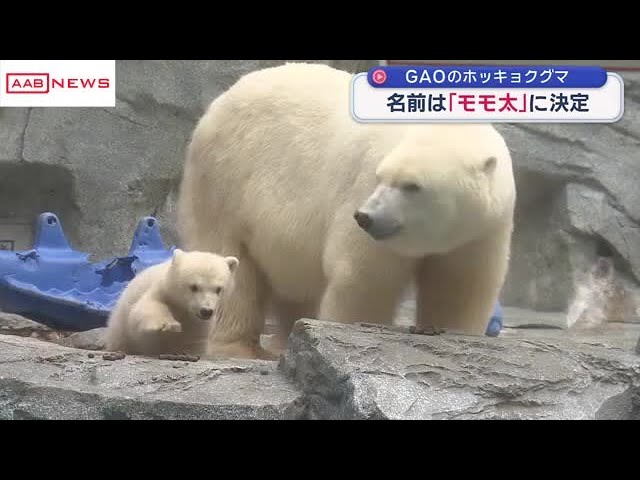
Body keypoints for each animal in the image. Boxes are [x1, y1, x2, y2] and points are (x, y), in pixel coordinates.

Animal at [104, 249, 239, 356]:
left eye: (219, 289)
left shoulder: (198, 325)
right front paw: (169, 325)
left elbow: (192, 342)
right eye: (194, 287)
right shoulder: (161, 291)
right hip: (120, 333)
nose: (206, 311)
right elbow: (143, 309)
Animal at [176, 62, 516, 360]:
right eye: (381, 177)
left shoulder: (483, 230)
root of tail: (219, 102)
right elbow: (365, 277)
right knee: (231, 262)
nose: (365, 217)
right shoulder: (362, 185)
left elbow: (459, 285)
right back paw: (239, 348)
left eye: (412, 186)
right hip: (224, 181)